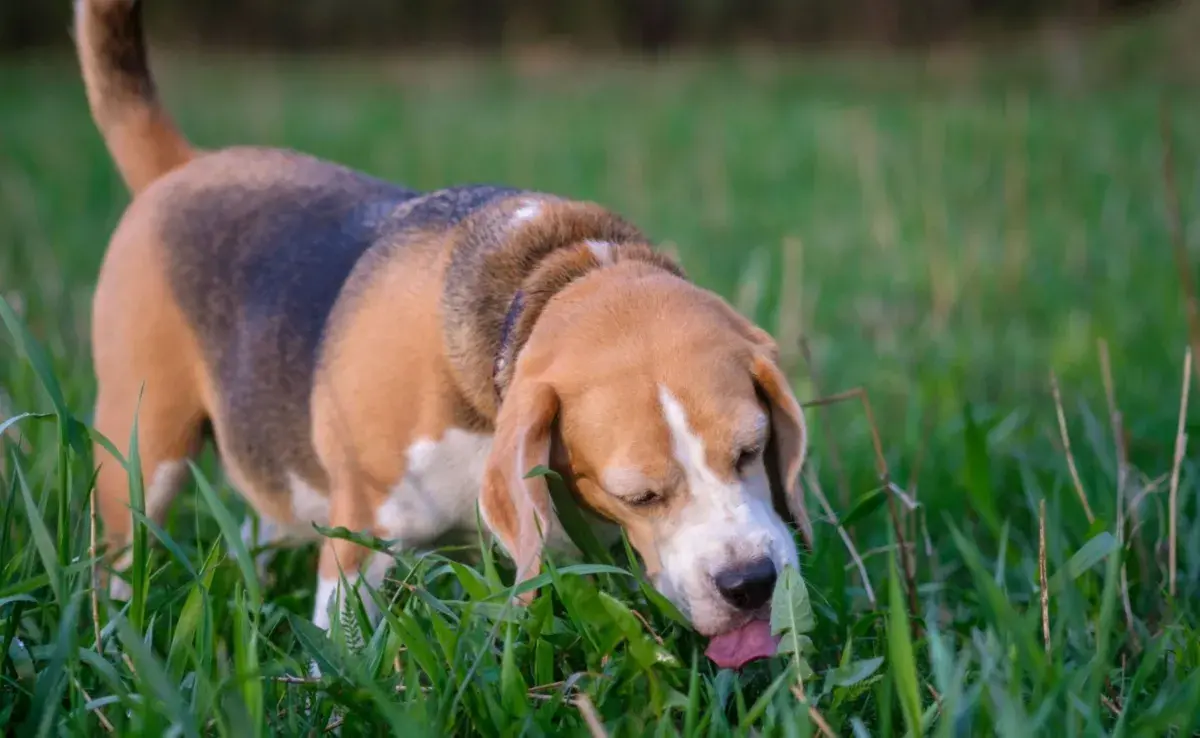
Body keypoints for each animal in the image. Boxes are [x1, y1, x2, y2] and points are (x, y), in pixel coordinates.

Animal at [77, 0, 816, 672]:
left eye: (752, 450)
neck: (545, 279)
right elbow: (344, 647)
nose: (750, 585)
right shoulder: (357, 534)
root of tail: (182, 166)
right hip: (143, 454)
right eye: (640, 495)